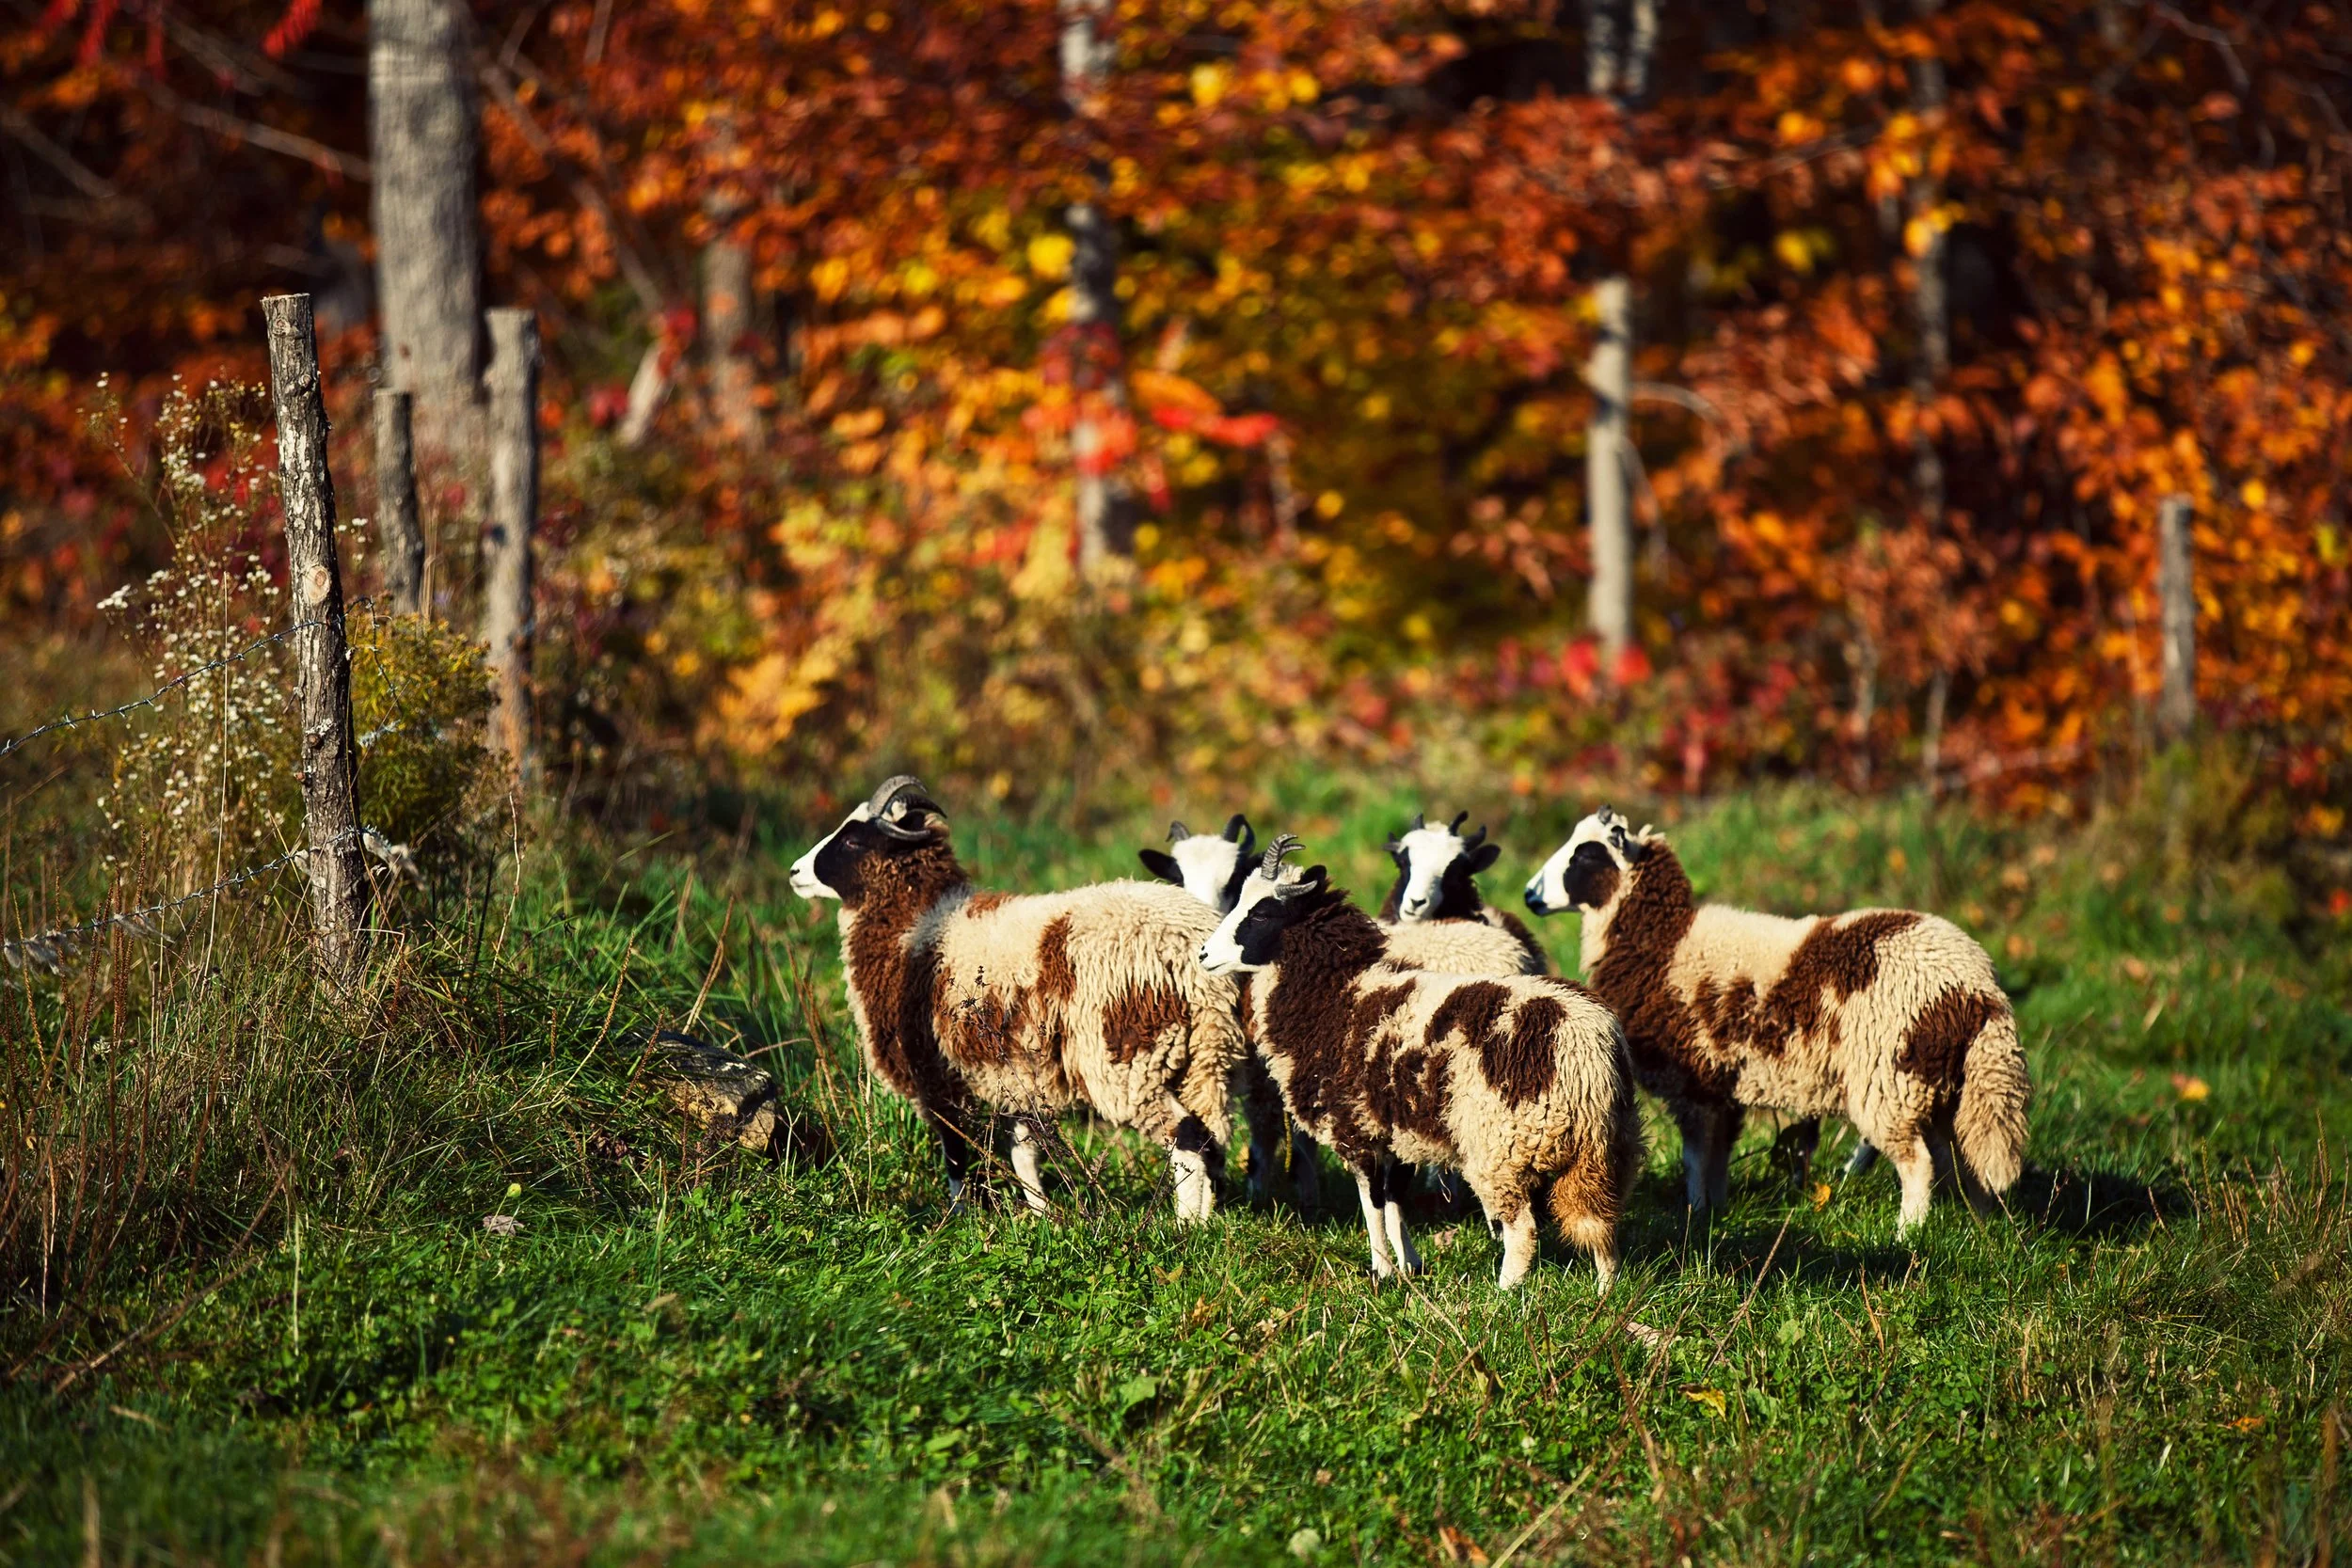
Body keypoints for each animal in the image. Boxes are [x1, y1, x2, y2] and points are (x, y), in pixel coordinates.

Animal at [791, 776, 1249, 1221]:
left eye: (853, 840)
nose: (795, 871)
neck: (919, 923)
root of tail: (1188, 946)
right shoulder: (1019, 1078)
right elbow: (1024, 1154)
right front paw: (1042, 1216)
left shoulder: (936, 1075)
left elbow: (955, 1154)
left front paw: (959, 1220)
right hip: (1206, 1059)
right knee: (1212, 1140)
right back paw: (1207, 1223)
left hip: (1128, 1061)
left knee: (1185, 1137)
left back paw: (1185, 1227)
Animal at [1198, 836, 1643, 1290]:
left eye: (1261, 912)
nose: (1204, 954)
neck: (1336, 994)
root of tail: (1587, 1049)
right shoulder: (1399, 1132)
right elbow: (1396, 1199)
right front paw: (1409, 1265)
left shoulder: (1355, 1127)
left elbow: (1372, 1204)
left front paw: (1381, 1269)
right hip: (1607, 1151)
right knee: (1600, 1223)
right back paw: (1604, 1293)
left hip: (1502, 1150)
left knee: (1523, 1231)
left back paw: (1504, 1294)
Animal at [1523, 807, 2032, 1236]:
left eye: (1586, 854)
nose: (1529, 895)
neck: (1666, 943)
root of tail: (1978, 987)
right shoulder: (1721, 1084)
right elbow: (1718, 1156)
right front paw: (1716, 1210)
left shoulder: (1695, 1081)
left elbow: (1695, 1158)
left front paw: (1696, 1212)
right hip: (1948, 1080)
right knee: (1968, 1156)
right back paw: (1980, 1225)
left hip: (1892, 1077)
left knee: (1919, 1162)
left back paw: (1909, 1233)